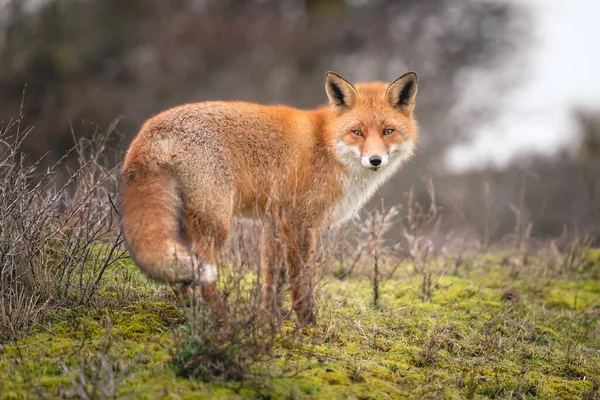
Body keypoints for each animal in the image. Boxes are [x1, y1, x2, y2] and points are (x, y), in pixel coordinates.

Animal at [117, 71, 418, 322]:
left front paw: (271, 318)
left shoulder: (274, 222)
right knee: (203, 277)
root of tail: (149, 129)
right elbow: (301, 280)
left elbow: (273, 279)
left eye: (388, 131)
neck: (328, 146)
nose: (375, 160)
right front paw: (307, 323)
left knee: (175, 277)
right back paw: (222, 319)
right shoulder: (299, 223)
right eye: (357, 132)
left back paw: (195, 313)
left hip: (184, 224)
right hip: (216, 224)